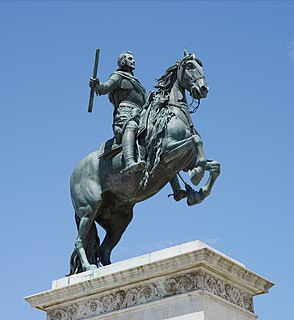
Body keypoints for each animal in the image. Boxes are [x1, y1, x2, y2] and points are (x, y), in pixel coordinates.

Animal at [69, 50, 220, 276]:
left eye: (200, 65)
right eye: (190, 66)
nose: (203, 89)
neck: (173, 113)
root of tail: (74, 173)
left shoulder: (183, 161)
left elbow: (215, 165)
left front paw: (197, 193)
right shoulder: (167, 153)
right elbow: (196, 142)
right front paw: (196, 177)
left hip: (119, 219)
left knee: (104, 250)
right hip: (89, 209)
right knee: (80, 241)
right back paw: (88, 268)